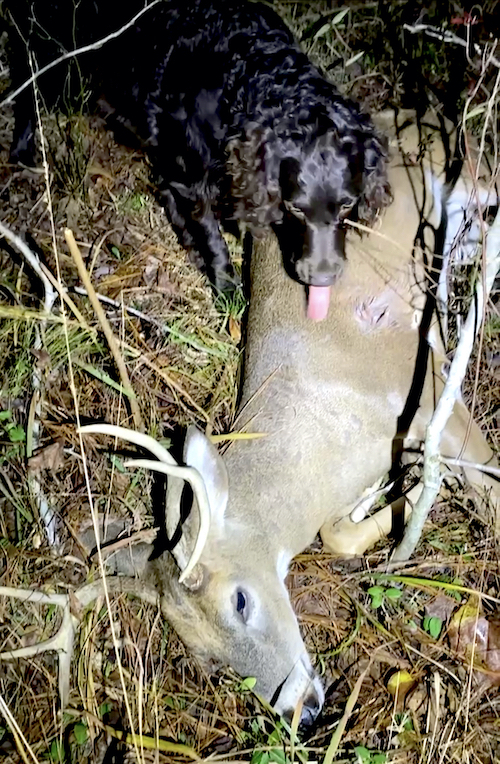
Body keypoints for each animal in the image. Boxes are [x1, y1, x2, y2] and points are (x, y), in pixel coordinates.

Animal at [5, 0, 392, 316]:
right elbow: (211, 237)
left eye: (347, 205)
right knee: (26, 88)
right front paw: (227, 288)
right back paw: (23, 150)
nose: (322, 278)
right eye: (295, 207)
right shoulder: (191, 176)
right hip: (48, 53)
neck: (249, 71)